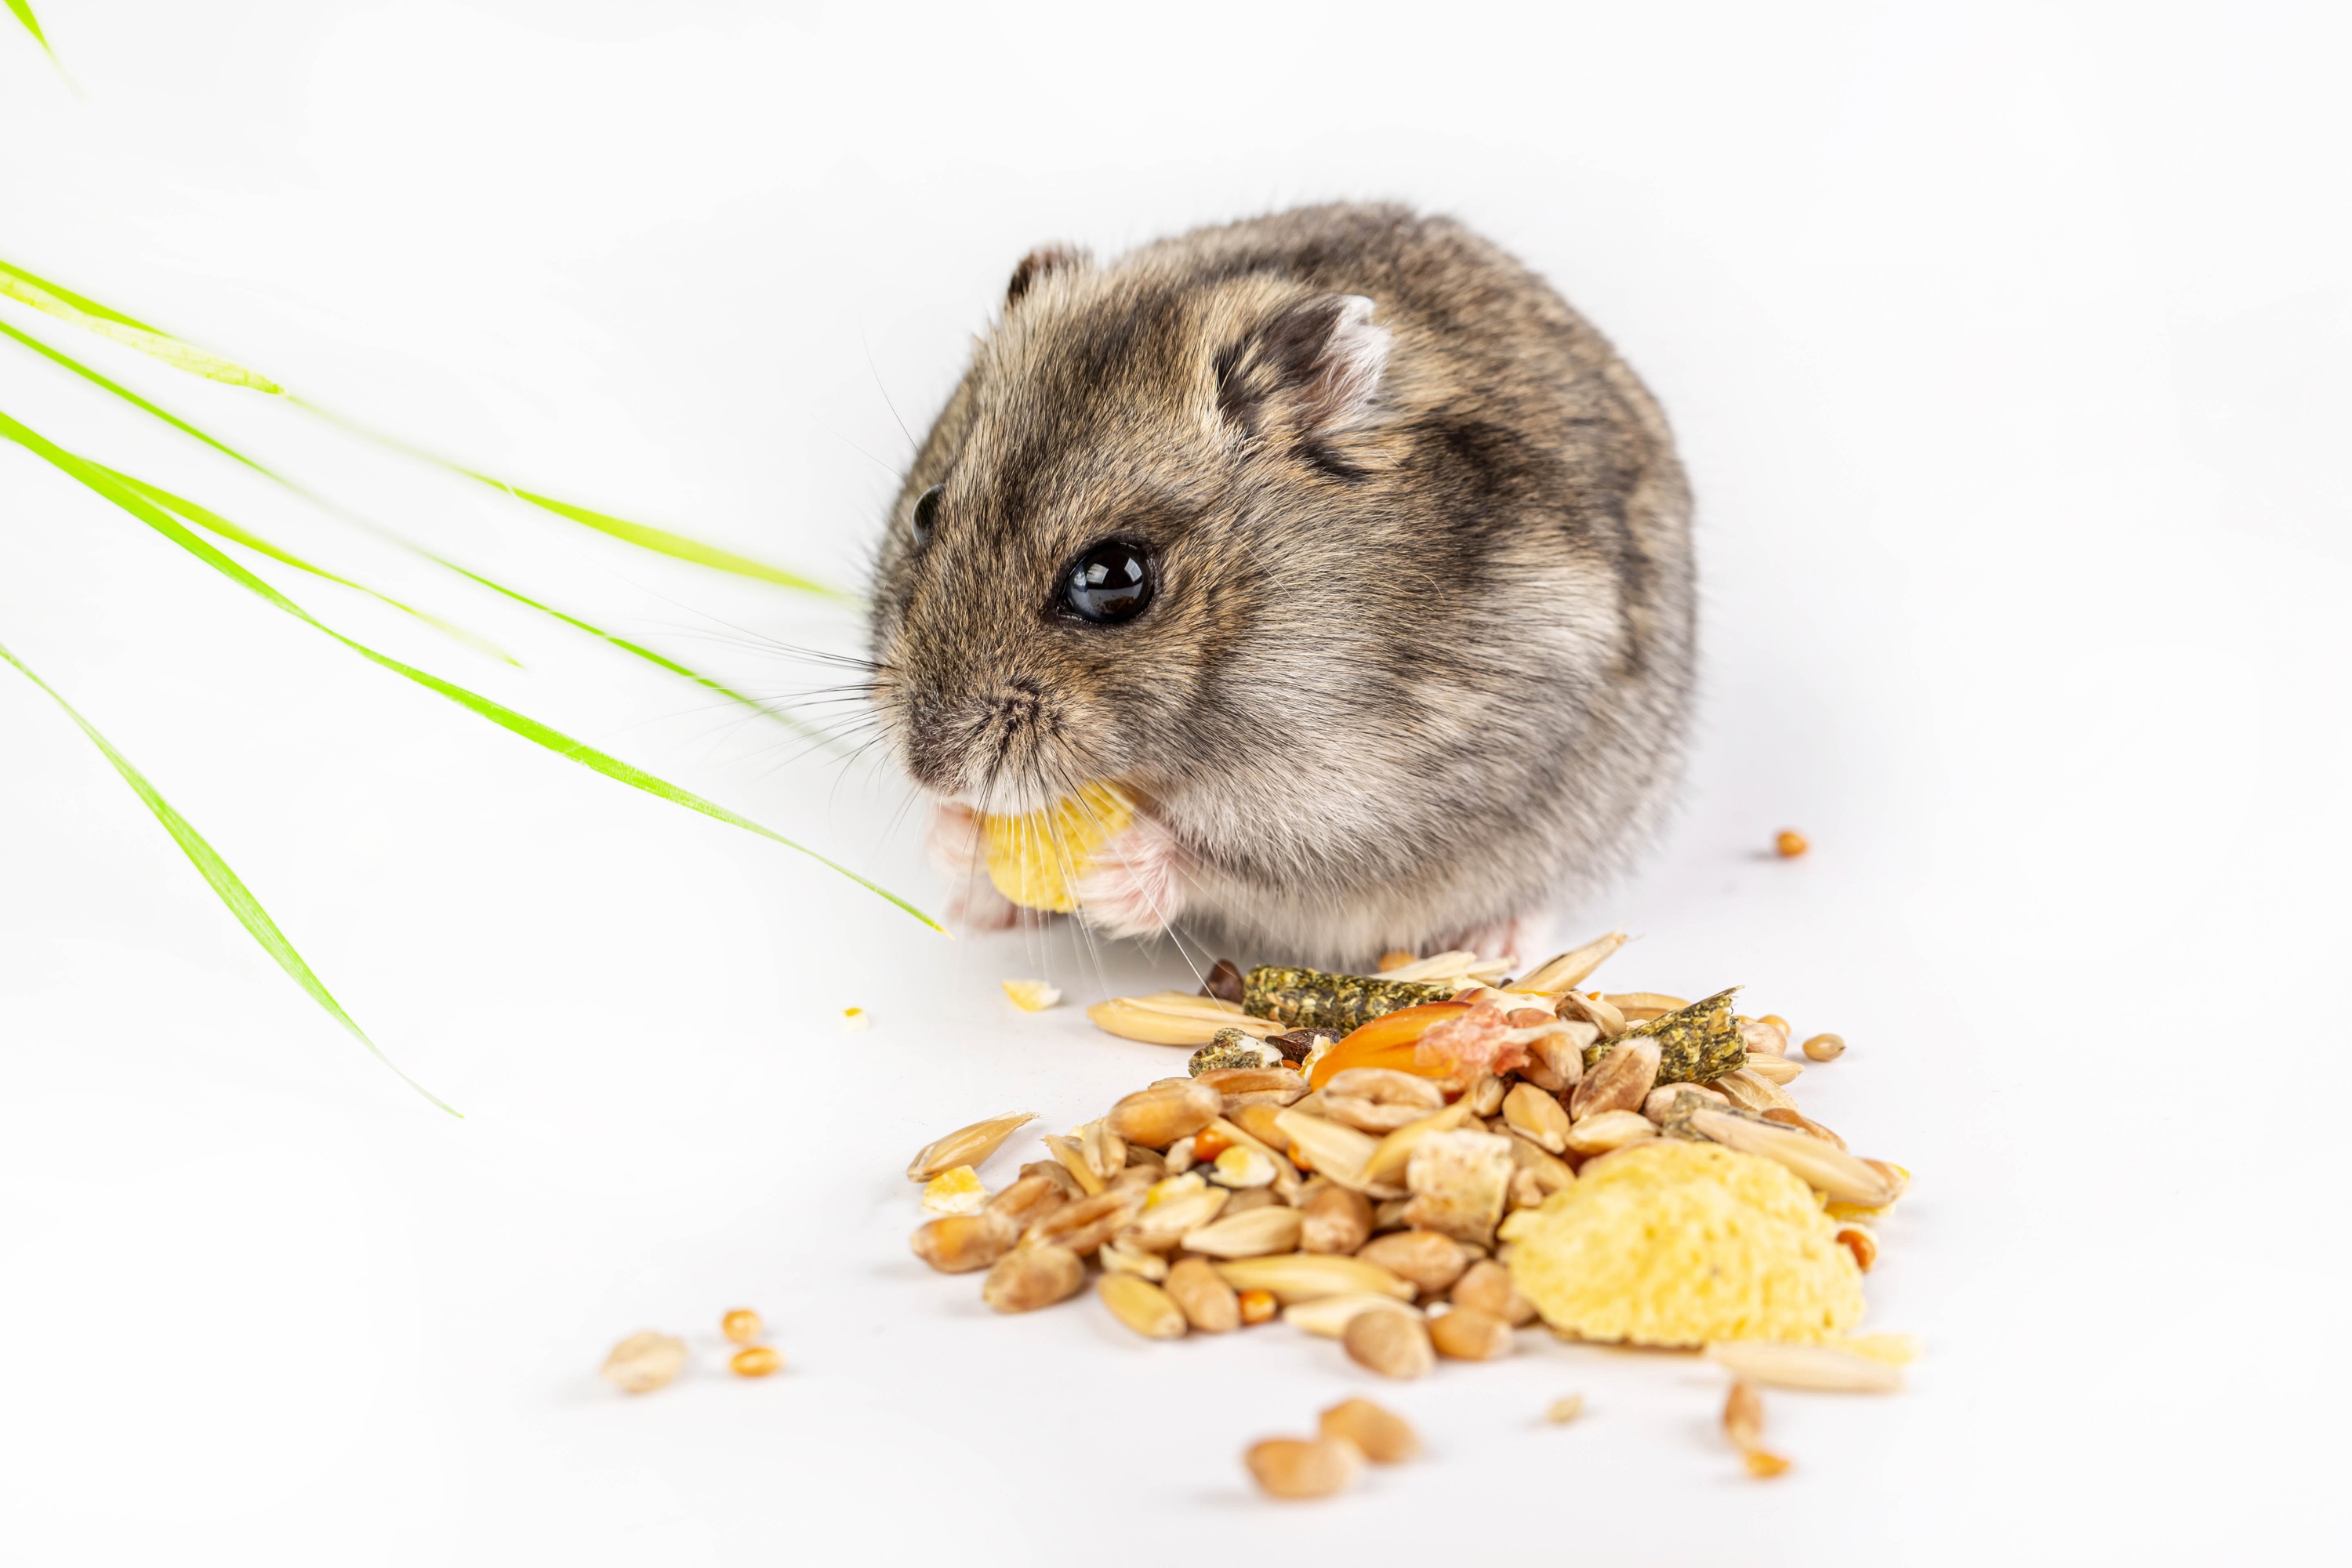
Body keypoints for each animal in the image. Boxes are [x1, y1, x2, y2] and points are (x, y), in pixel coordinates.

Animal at [867, 204, 1694, 969]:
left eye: (1114, 579)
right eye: (926, 511)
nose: (929, 771)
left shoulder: (1364, 802)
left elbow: (1231, 858)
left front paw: (1119, 871)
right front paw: (953, 838)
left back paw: (1494, 947)